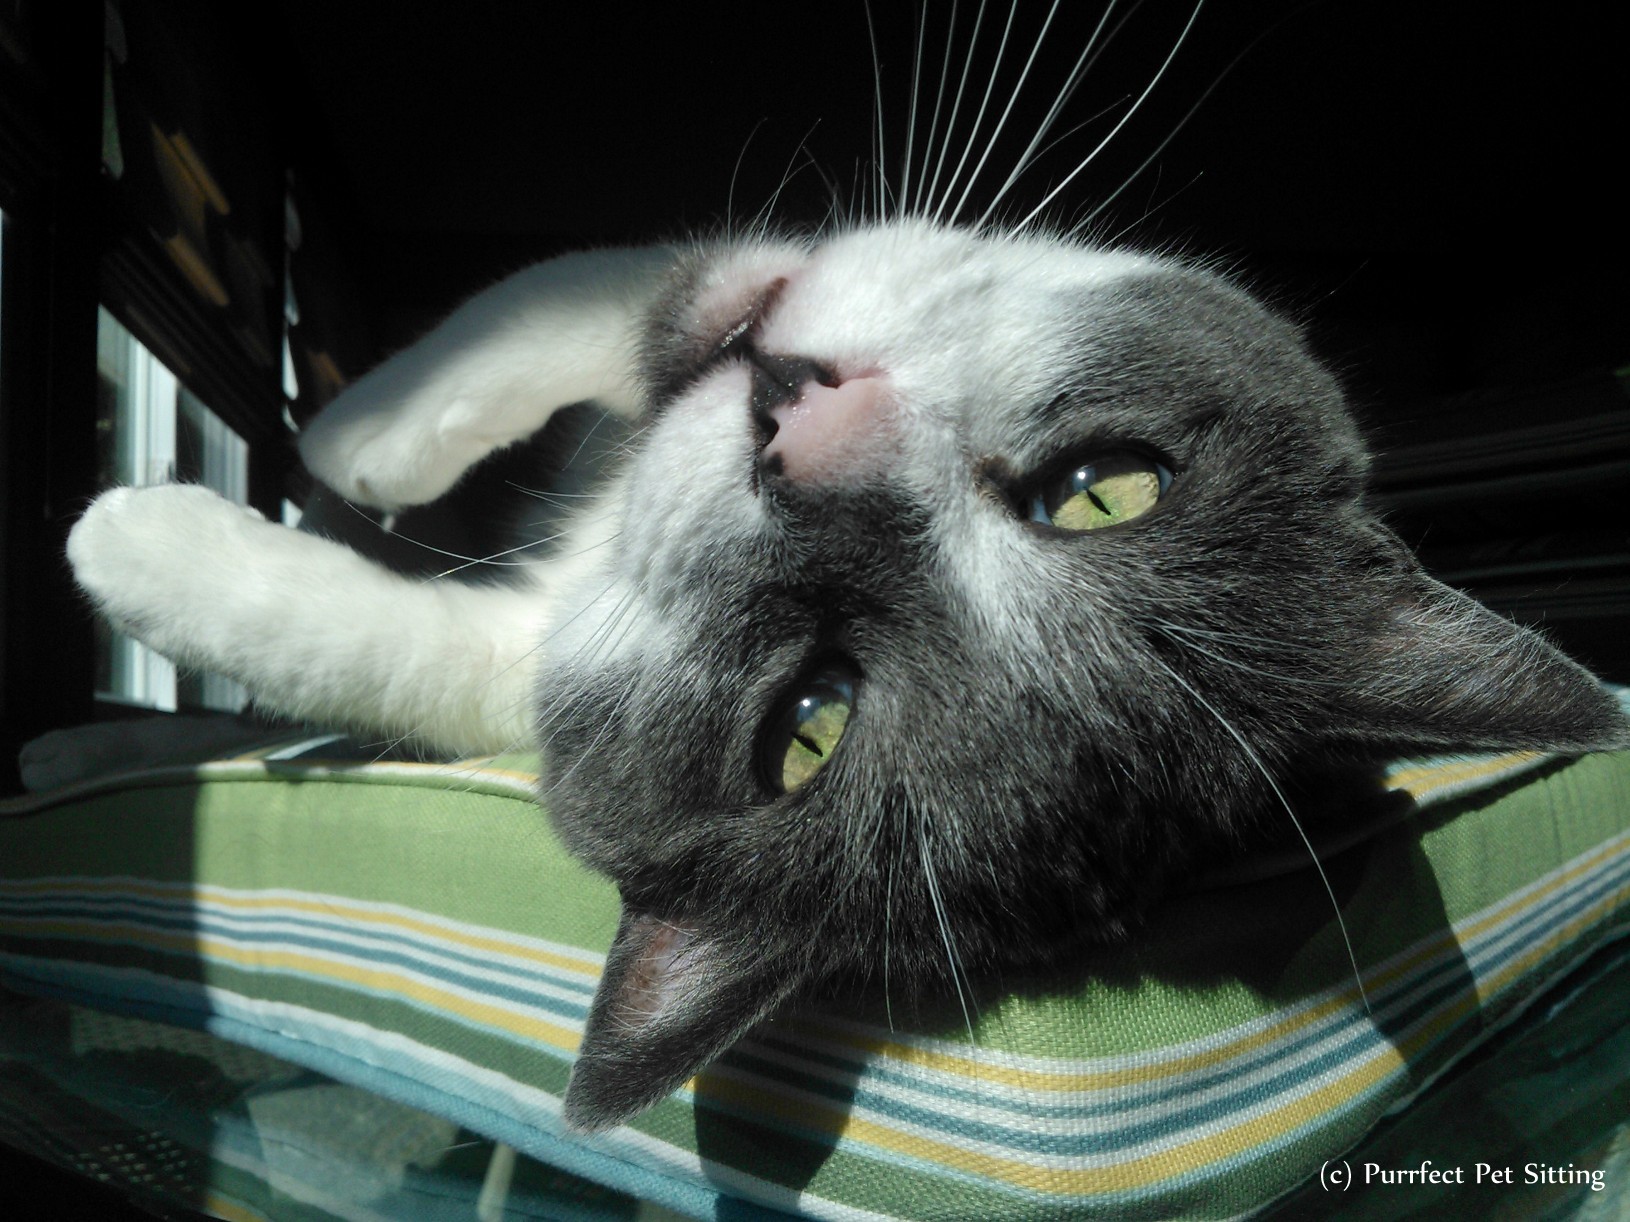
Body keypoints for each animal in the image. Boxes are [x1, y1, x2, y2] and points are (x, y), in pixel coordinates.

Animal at [63, 23, 1630, 1134]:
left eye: (808, 722)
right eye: (1105, 490)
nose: (795, 430)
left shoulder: (535, 660)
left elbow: (420, 656)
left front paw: (144, 542)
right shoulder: (705, 280)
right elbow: (590, 294)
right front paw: (363, 428)